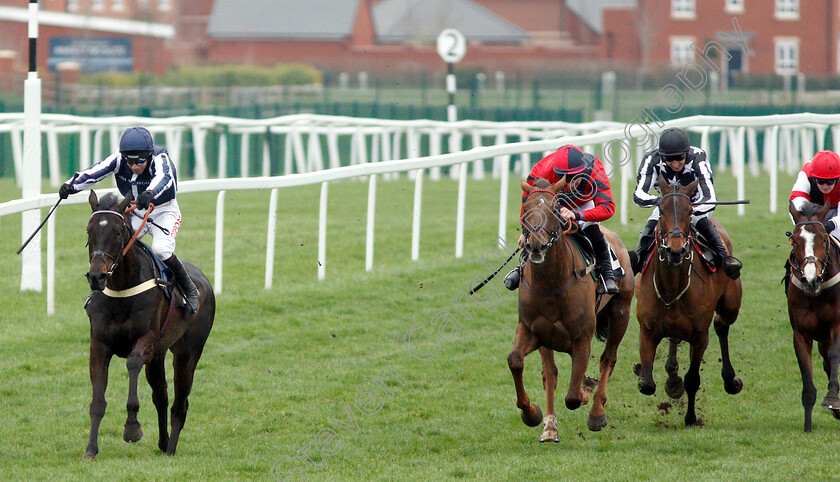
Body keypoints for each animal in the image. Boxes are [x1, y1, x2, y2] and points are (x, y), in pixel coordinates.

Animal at [83, 192, 215, 460]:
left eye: (118, 232)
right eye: (89, 231)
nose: (97, 277)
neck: (122, 290)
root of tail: (205, 281)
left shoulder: (148, 340)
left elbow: (133, 362)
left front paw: (132, 428)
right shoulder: (99, 345)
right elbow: (98, 400)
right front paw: (91, 449)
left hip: (188, 353)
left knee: (179, 404)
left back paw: (171, 449)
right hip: (159, 356)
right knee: (161, 396)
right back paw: (163, 443)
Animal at [506, 178, 632, 440]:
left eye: (555, 209)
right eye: (526, 209)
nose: (535, 245)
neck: (552, 283)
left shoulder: (581, 338)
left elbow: (573, 396)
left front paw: (585, 393)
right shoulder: (533, 331)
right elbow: (517, 361)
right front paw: (532, 413)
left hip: (621, 313)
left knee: (608, 359)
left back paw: (597, 412)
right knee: (550, 373)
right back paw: (550, 426)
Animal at [632, 177, 744, 426]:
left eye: (690, 211)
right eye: (661, 211)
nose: (676, 250)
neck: (671, 287)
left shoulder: (699, 335)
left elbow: (693, 379)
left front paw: (691, 418)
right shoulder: (647, 330)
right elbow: (646, 383)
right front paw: (664, 379)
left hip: (731, 305)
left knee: (722, 325)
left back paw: (730, 380)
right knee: (675, 338)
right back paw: (672, 376)